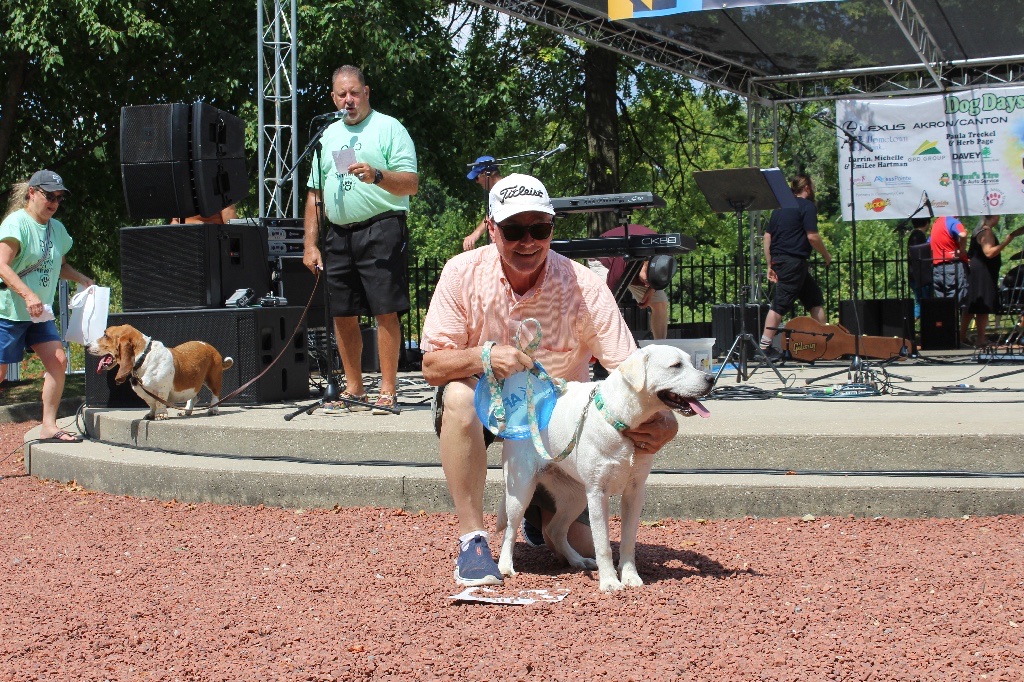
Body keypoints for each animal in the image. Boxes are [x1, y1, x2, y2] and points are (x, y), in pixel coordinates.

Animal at [88, 324, 234, 420]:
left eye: (106, 335)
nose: (87, 346)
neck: (144, 357)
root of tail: (211, 347)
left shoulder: (162, 389)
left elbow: (160, 402)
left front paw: (161, 415)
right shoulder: (144, 392)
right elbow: (151, 403)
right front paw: (151, 414)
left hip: (213, 379)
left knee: (215, 395)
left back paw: (213, 409)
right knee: (194, 397)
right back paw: (186, 410)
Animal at [496, 344, 714, 592]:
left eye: (690, 362)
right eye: (675, 365)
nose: (711, 379)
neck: (622, 422)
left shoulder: (635, 493)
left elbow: (628, 541)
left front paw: (629, 576)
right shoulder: (598, 493)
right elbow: (603, 544)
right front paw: (609, 581)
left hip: (575, 496)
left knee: (554, 529)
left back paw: (577, 560)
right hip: (521, 490)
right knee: (510, 530)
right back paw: (505, 566)